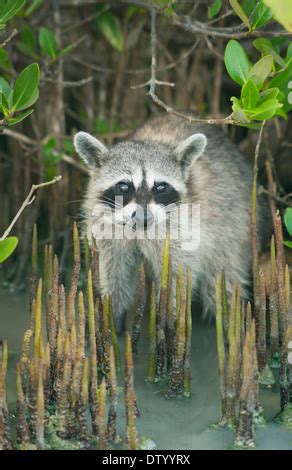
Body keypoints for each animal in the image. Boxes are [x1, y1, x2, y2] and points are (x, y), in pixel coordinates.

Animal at [74, 115, 270, 332]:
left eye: (160, 187)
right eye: (124, 186)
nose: (143, 217)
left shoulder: (184, 229)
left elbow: (176, 277)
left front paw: (168, 323)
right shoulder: (104, 227)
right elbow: (113, 269)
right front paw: (113, 315)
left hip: (235, 225)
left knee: (221, 279)